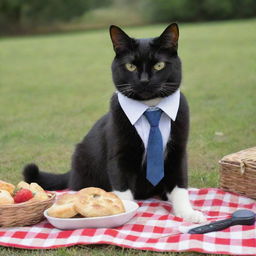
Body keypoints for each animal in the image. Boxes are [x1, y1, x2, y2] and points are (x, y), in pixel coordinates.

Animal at [23, 24, 206, 224]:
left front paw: (188, 212)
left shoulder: (177, 151)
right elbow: (122, 187)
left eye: (159, 65)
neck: (150, 108)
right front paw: (123, 211)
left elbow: (180, 185)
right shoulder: (119, 154)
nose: (144, 80)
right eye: (130, 66)